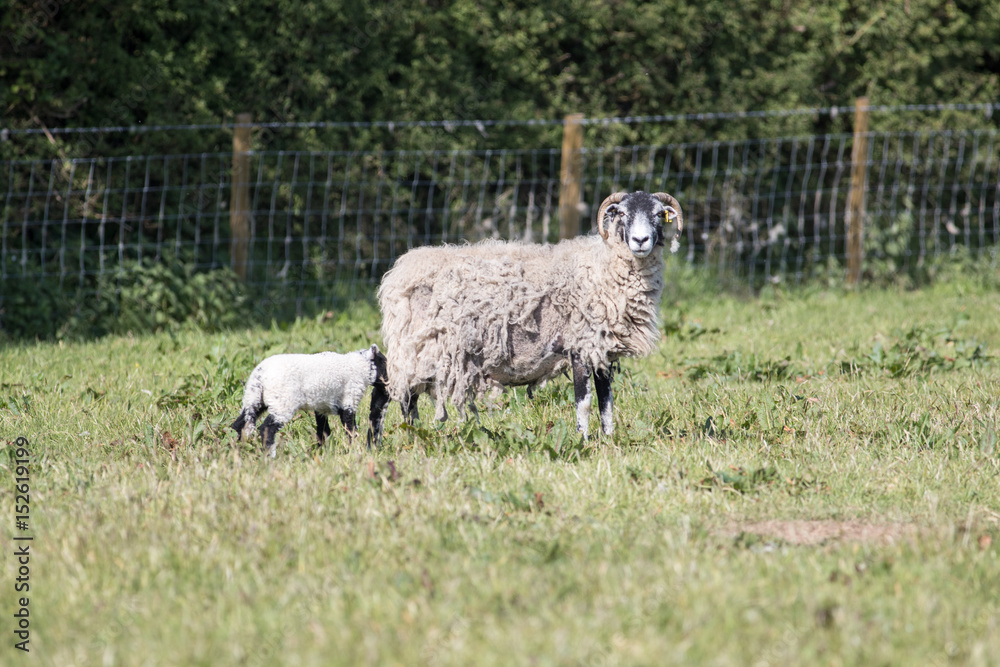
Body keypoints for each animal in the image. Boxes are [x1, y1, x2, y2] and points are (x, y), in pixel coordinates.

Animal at [230, 344, 388, 456]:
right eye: (385, 363)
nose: (389, 385)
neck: (359, 367)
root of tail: (260, 375)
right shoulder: (349, 402)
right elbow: (351, 431)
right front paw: (354, 450)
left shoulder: (321, 406)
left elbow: (323, 432)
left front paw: (323, 453)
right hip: (283, 403)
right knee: (266, 428)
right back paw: (270, 456)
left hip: (253, 399)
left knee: (238, 425)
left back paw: (234, 450)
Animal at [375, 190, 683, 438]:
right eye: (622, 214)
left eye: (659, 214)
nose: (640, 240)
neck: (602, 267)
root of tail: (399, 272)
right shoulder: (580, 346)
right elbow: (583, 403)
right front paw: (583, 442)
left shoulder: (601, 351)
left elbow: (606, 401)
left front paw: (609, 440)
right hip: (417, 349)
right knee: (405, 397)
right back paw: (413, 437)